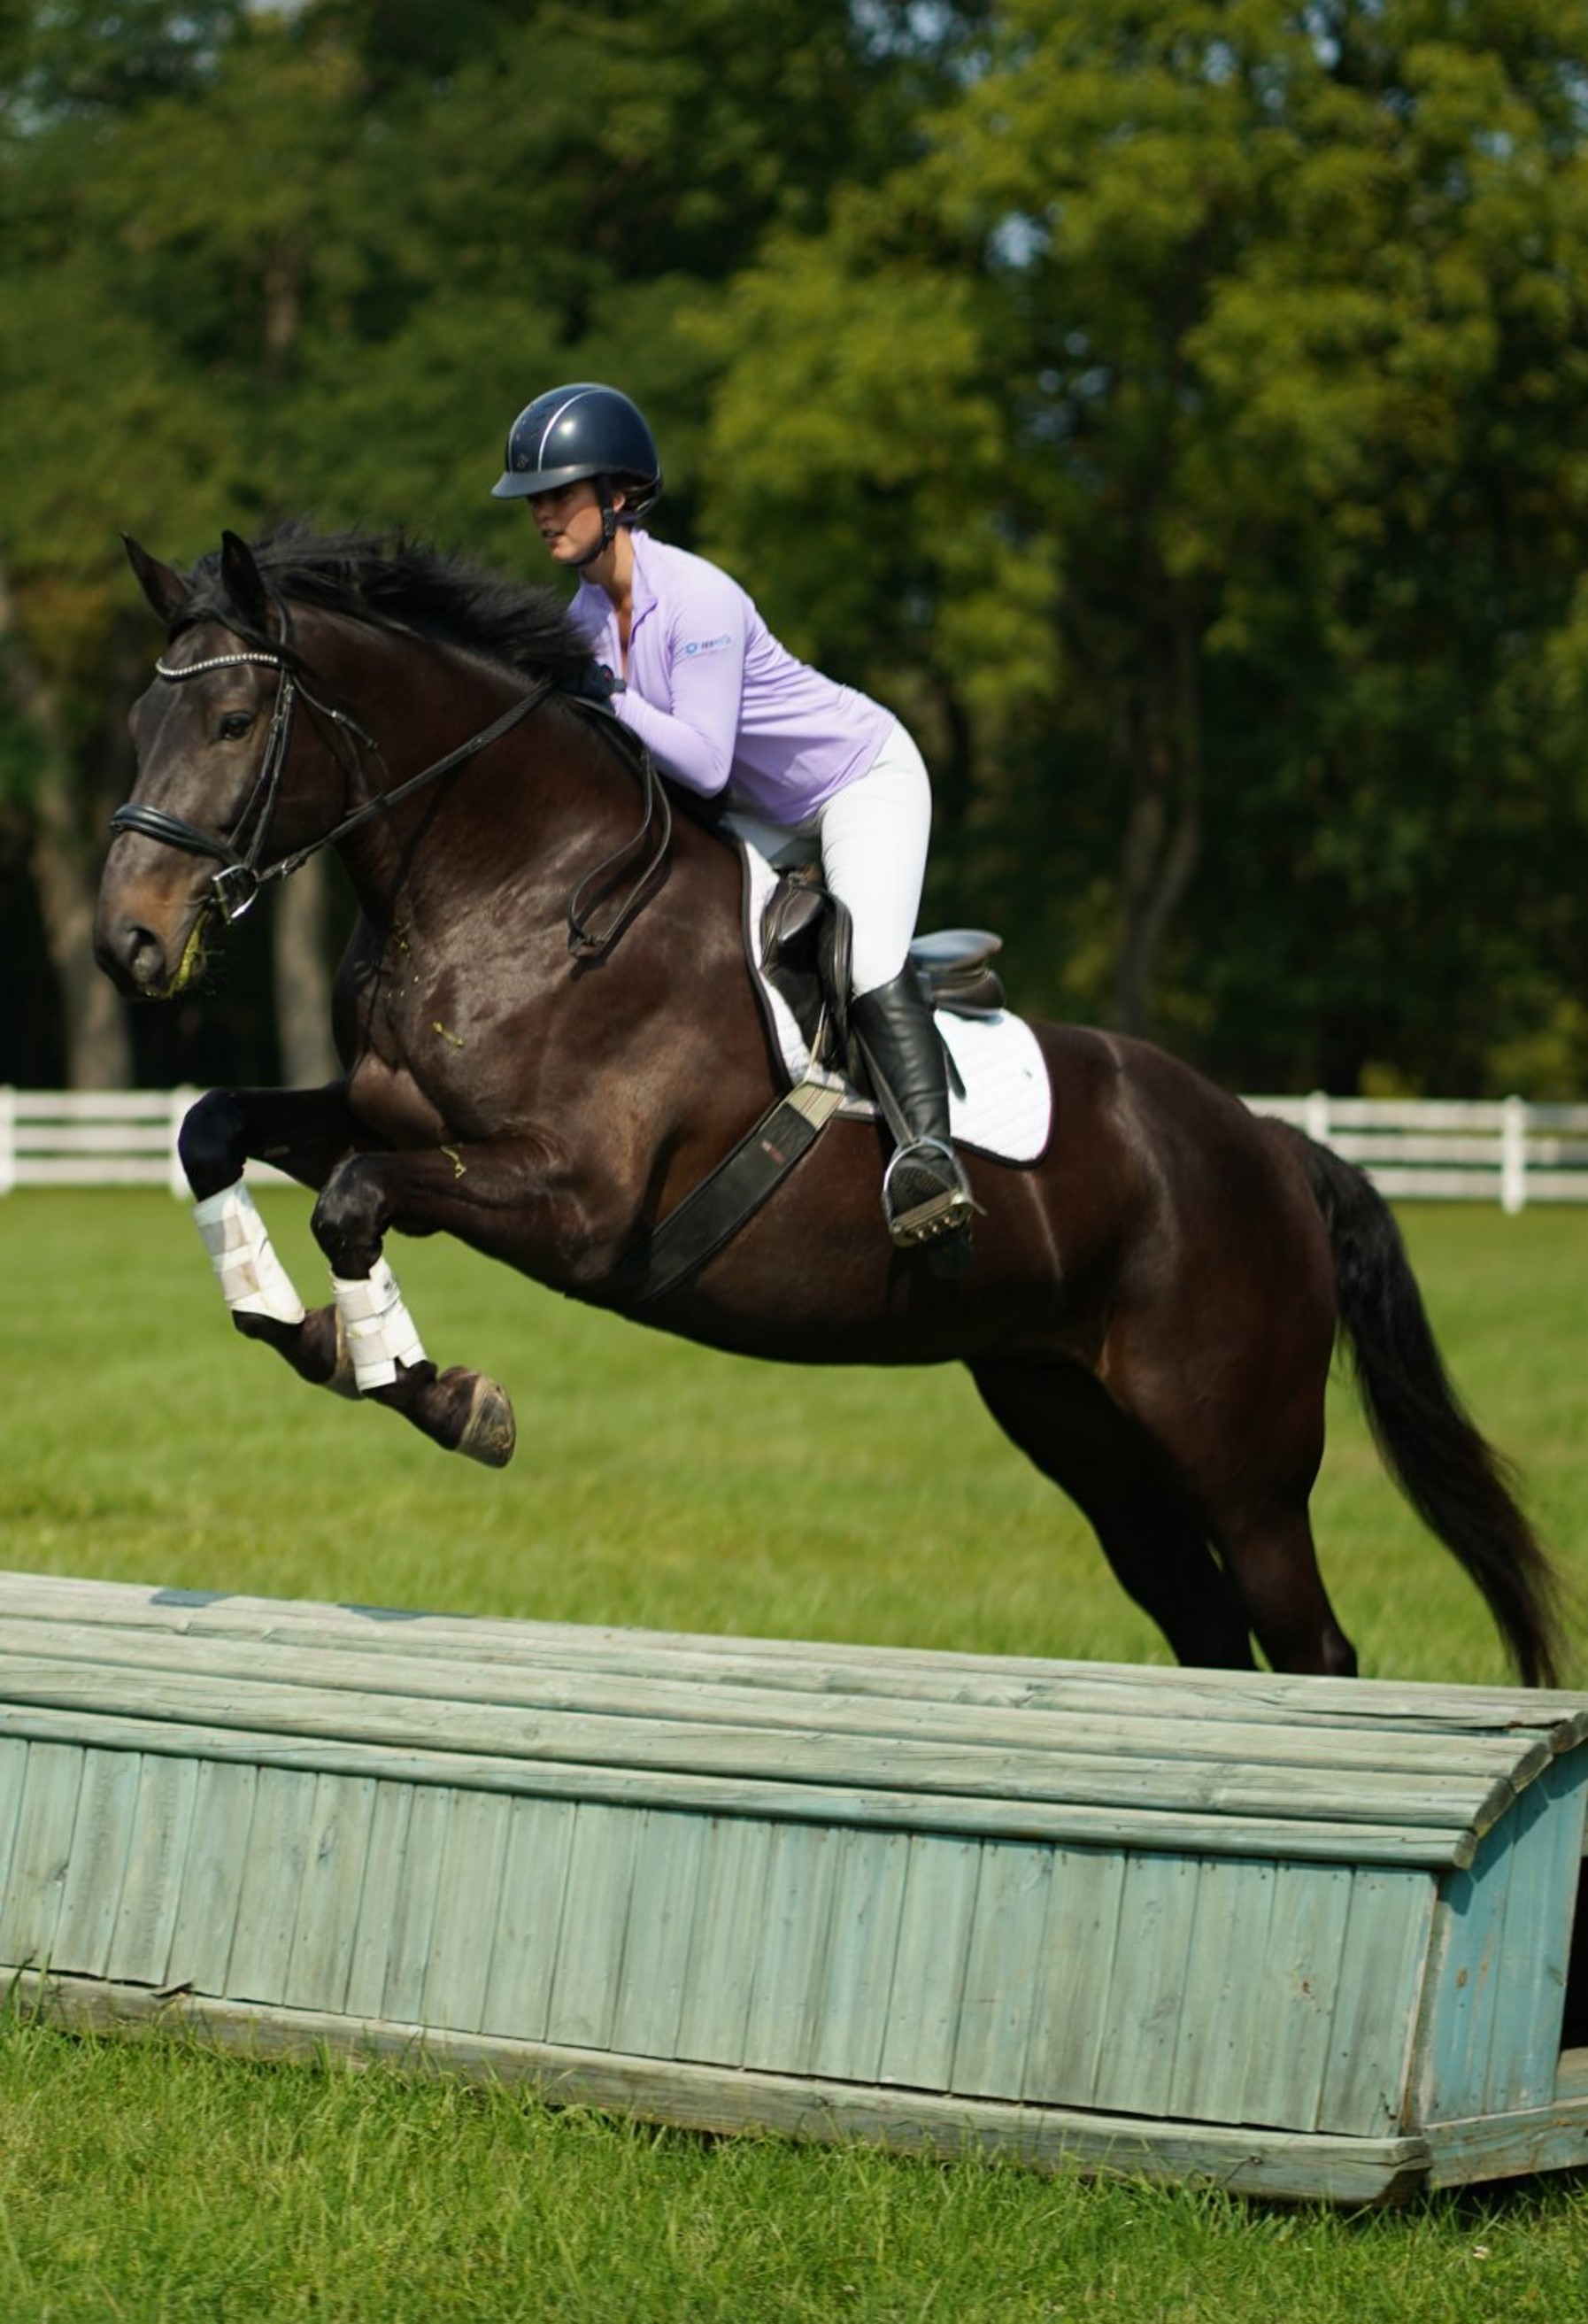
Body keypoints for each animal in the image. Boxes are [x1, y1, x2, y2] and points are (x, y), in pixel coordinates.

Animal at [96, 527, 1562, 1692]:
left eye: (234, 725)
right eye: (136, 730)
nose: (126, 943)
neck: (518, 886)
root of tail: (1264, 1144)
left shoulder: (573, 1201)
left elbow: (354, 1202)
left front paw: (437, 1390)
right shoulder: (386, 1115)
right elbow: (217, 1130)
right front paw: (302, 1329)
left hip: (1238, 1453)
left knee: (1308, 1641)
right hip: (1076, 1424)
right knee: (1204, 1625)